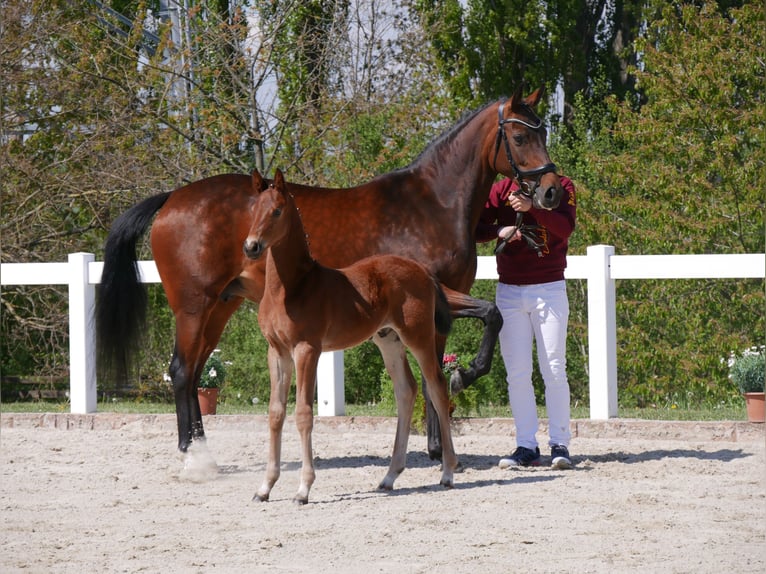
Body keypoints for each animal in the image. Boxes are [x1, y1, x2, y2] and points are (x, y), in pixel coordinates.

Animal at [97, 84, 564, 464]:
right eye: (520, 136)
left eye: (543, 133)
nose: (551, 191)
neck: (432, 205)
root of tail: (172, 198)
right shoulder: (436, 297)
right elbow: (487, 320)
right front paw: (464, 376)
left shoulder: (435, 309)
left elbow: (443, 361)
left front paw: (438, 446)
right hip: (194, 307)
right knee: (180, 371)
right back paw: (190, 451)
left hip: (220, 308)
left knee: (194, 372)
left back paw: (201, 447)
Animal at [246, 170, 460, 504]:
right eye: (253, 209)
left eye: (277, 211)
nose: (251, 246)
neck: (292, 287)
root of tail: (423, 271)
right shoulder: (277, 352)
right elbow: (275, 413)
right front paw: (265, 487)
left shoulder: (307, 349)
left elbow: (303, 413)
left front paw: (304, 488)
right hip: (388, 340)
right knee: (406, 390)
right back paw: (389, 477)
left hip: (418, 337)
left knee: (437, 388)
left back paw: (448, 472)